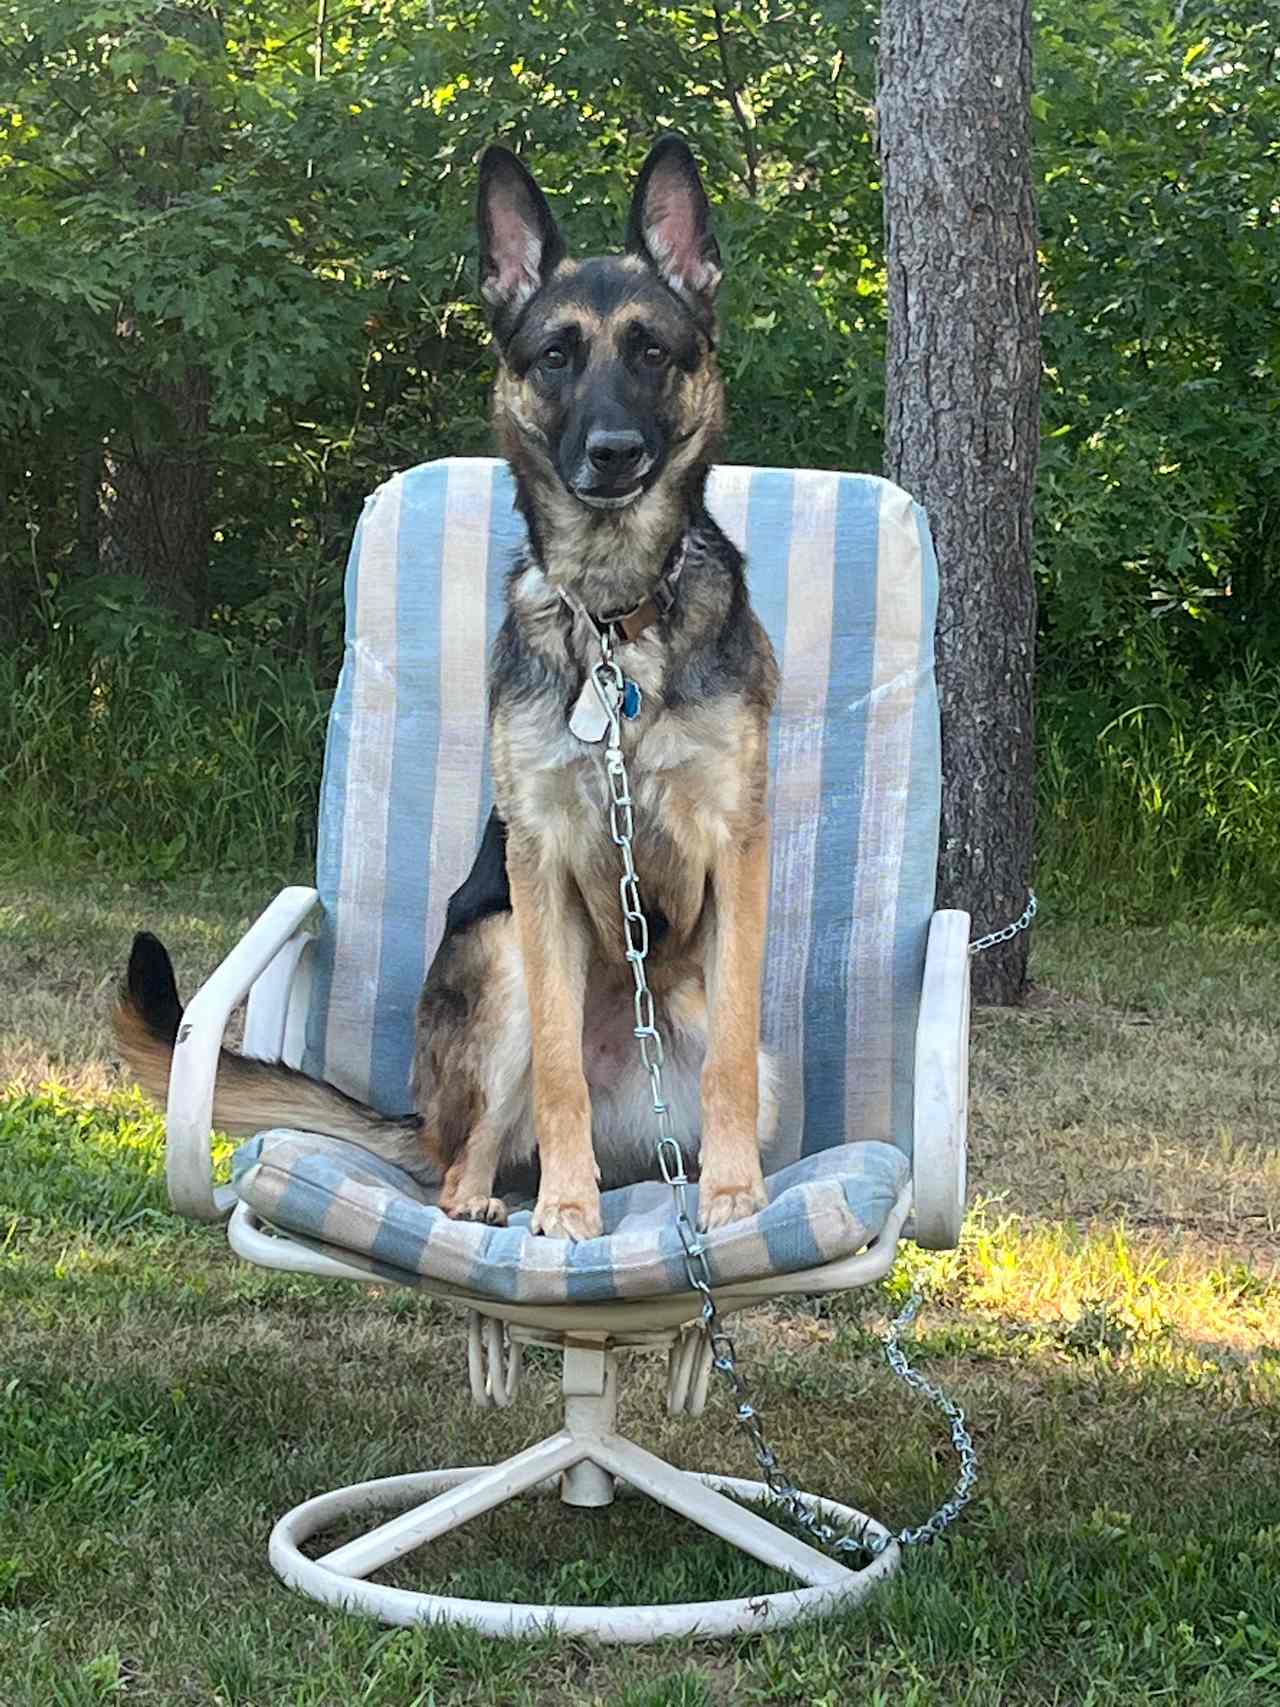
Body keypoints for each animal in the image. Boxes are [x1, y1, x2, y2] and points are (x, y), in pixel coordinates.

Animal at [117, 136, 781, 1242]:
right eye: (555, 355)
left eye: (653, 351)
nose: (612, 454)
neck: (615, 620)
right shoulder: (540, 867)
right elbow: (557, 1071)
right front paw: (567, 1209)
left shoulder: (736, 849)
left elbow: (729, 1045)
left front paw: (733, 1192)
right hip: (499, 949)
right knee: (469, 1145)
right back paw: (487, 1196)